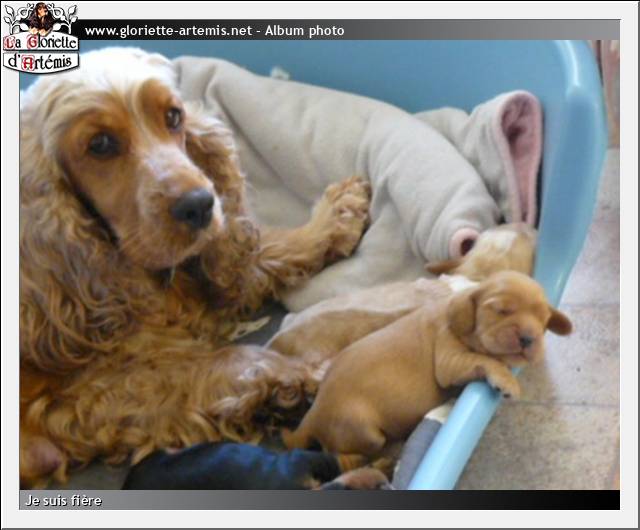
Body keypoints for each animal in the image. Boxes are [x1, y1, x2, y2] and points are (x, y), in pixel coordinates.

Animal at [19, 47, 371, 487]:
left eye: (173, 117)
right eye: (99, 144)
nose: (201, 205)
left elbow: (268, 249)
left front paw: (335, 216)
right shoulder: (88, 399)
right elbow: (229, 358)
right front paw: (314, 374)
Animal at [282, 271, 572, 463]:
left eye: (543, 320)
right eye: (501, 310)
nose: (528, 338)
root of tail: (313, 414)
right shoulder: (449, 361)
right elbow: (485, 359)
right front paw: (505, 379)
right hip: (363, 431)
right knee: (345, 456)